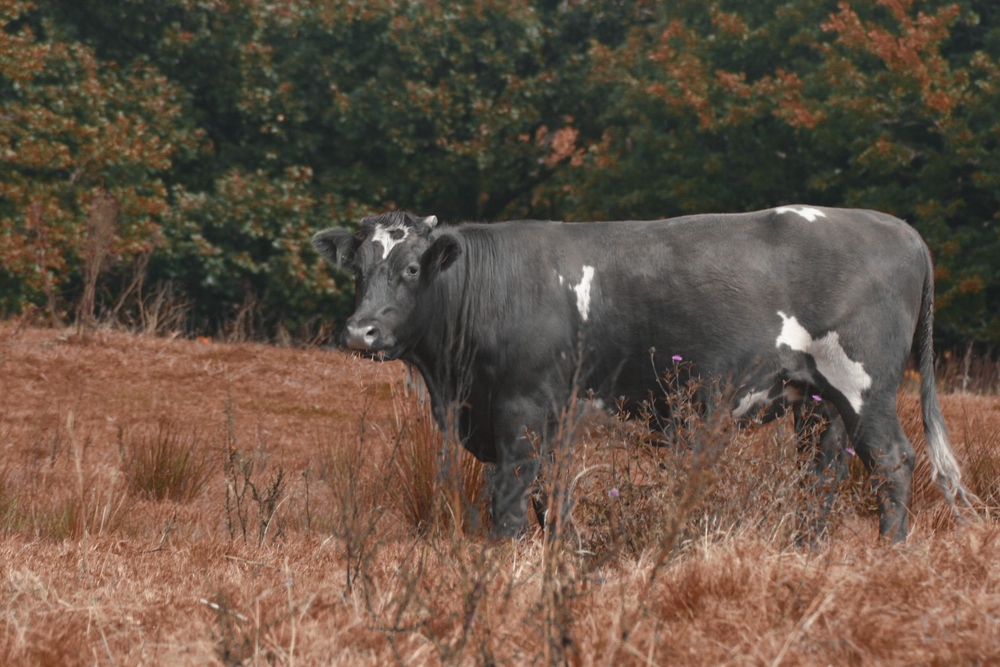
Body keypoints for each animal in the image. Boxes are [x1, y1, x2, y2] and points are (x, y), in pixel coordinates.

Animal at [314, 207, 976, 544]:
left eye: (411, 268)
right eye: (360, 267)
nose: (360, 331)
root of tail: (897, 227)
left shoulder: (521, 410)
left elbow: (511, 496)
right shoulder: (548, 420)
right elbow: (552, 496)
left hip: (864, 385)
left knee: (892, 461)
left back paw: (890, 549)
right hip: (817, 400)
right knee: (823, 473)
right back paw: (807, 549)